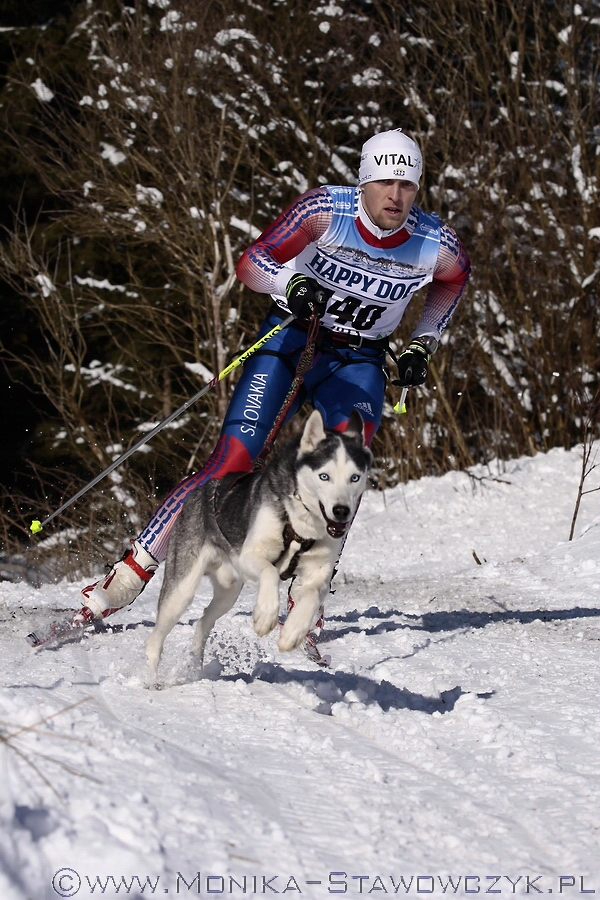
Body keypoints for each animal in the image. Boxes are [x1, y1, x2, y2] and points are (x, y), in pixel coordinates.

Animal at [145, 406, 370, 676]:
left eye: (354, 478)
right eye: (324, 476)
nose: (341, 511)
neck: (301, 525)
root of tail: (199, 490)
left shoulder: (317, 573)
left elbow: (312, 596)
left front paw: (293, 632)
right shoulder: (250, 555)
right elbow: (270, 573)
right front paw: (265, 616)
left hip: (228, 592)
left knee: (203, 621)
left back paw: (195, 665)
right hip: (182, 591)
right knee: (156, 637)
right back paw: (149, 678)